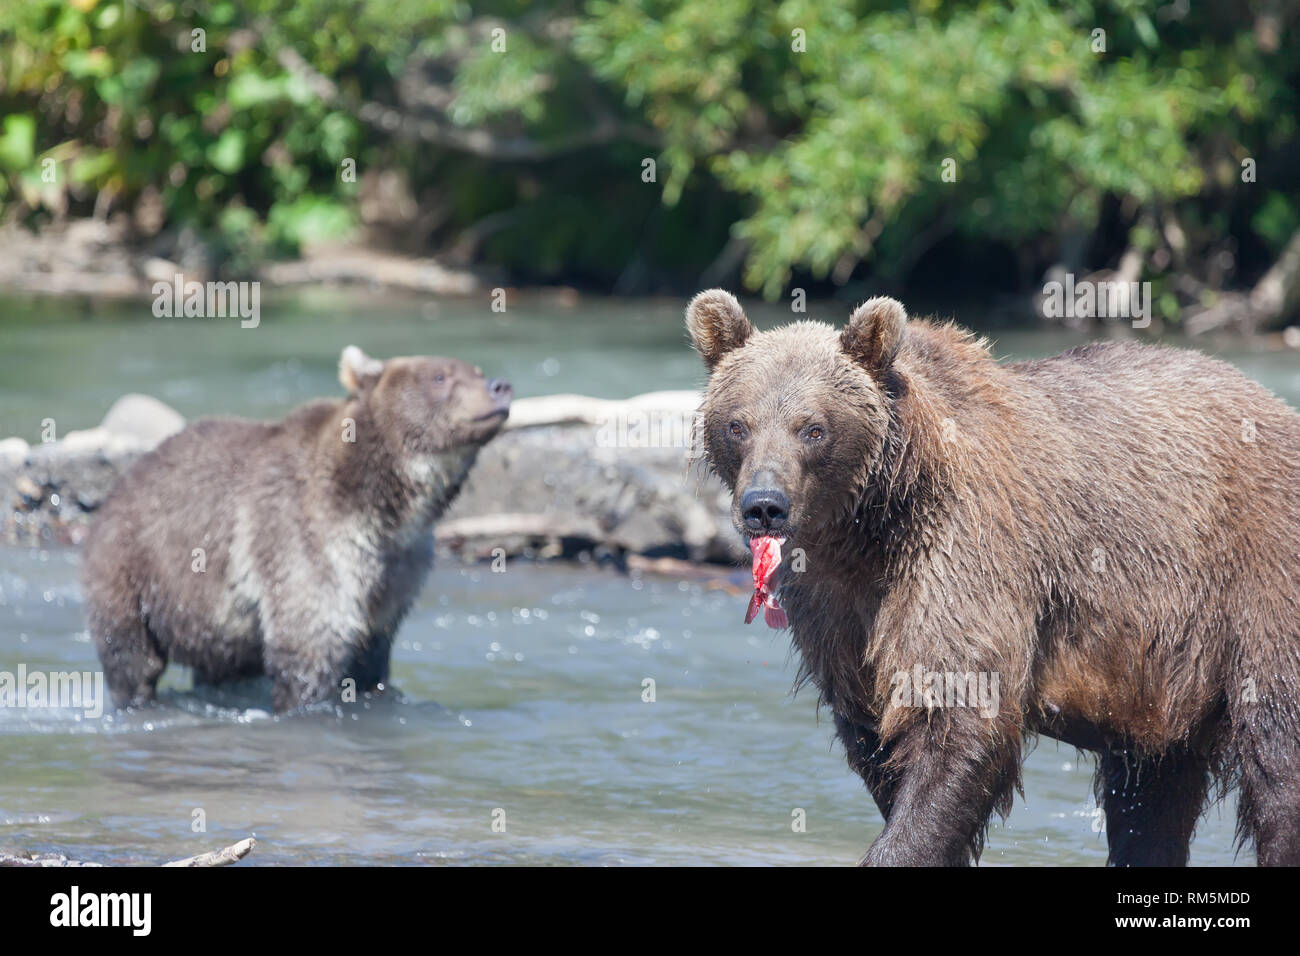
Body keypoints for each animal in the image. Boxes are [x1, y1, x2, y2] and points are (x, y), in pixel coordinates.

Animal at [82, 348, 512, 712]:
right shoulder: (302, 533)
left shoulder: (398, 569)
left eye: (477, 370)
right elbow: (311, 638)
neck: (385, 504)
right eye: (440, 376)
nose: (500, 387)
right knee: (132, 656)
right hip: (133, 568)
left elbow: (372, 654)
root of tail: (122, 481)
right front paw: (306, 703)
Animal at [686, 290, 1294, 868]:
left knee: (1275, 747)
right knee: (1153, 784)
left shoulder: (966, 550)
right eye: (738, 424)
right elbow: (874, 728)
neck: (871, 528)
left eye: (813, 428)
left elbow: (958, 714)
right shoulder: (834, 605)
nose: (765, 505)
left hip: (1253, 573)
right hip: (1161, 666)